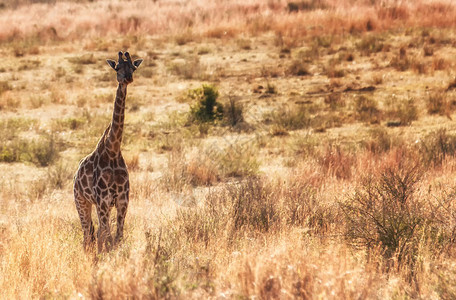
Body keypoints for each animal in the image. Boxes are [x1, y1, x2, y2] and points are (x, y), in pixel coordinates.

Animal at [73, 51, 142, 253]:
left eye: (133, 67)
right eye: (117, 67)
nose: (127, 78)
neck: (113, 150)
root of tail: (75, 175)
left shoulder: (122, 200)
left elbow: (117, 237)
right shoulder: (103, 201)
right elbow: (108, 237)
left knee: (95, 234)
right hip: (81, 201)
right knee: (87, 235)